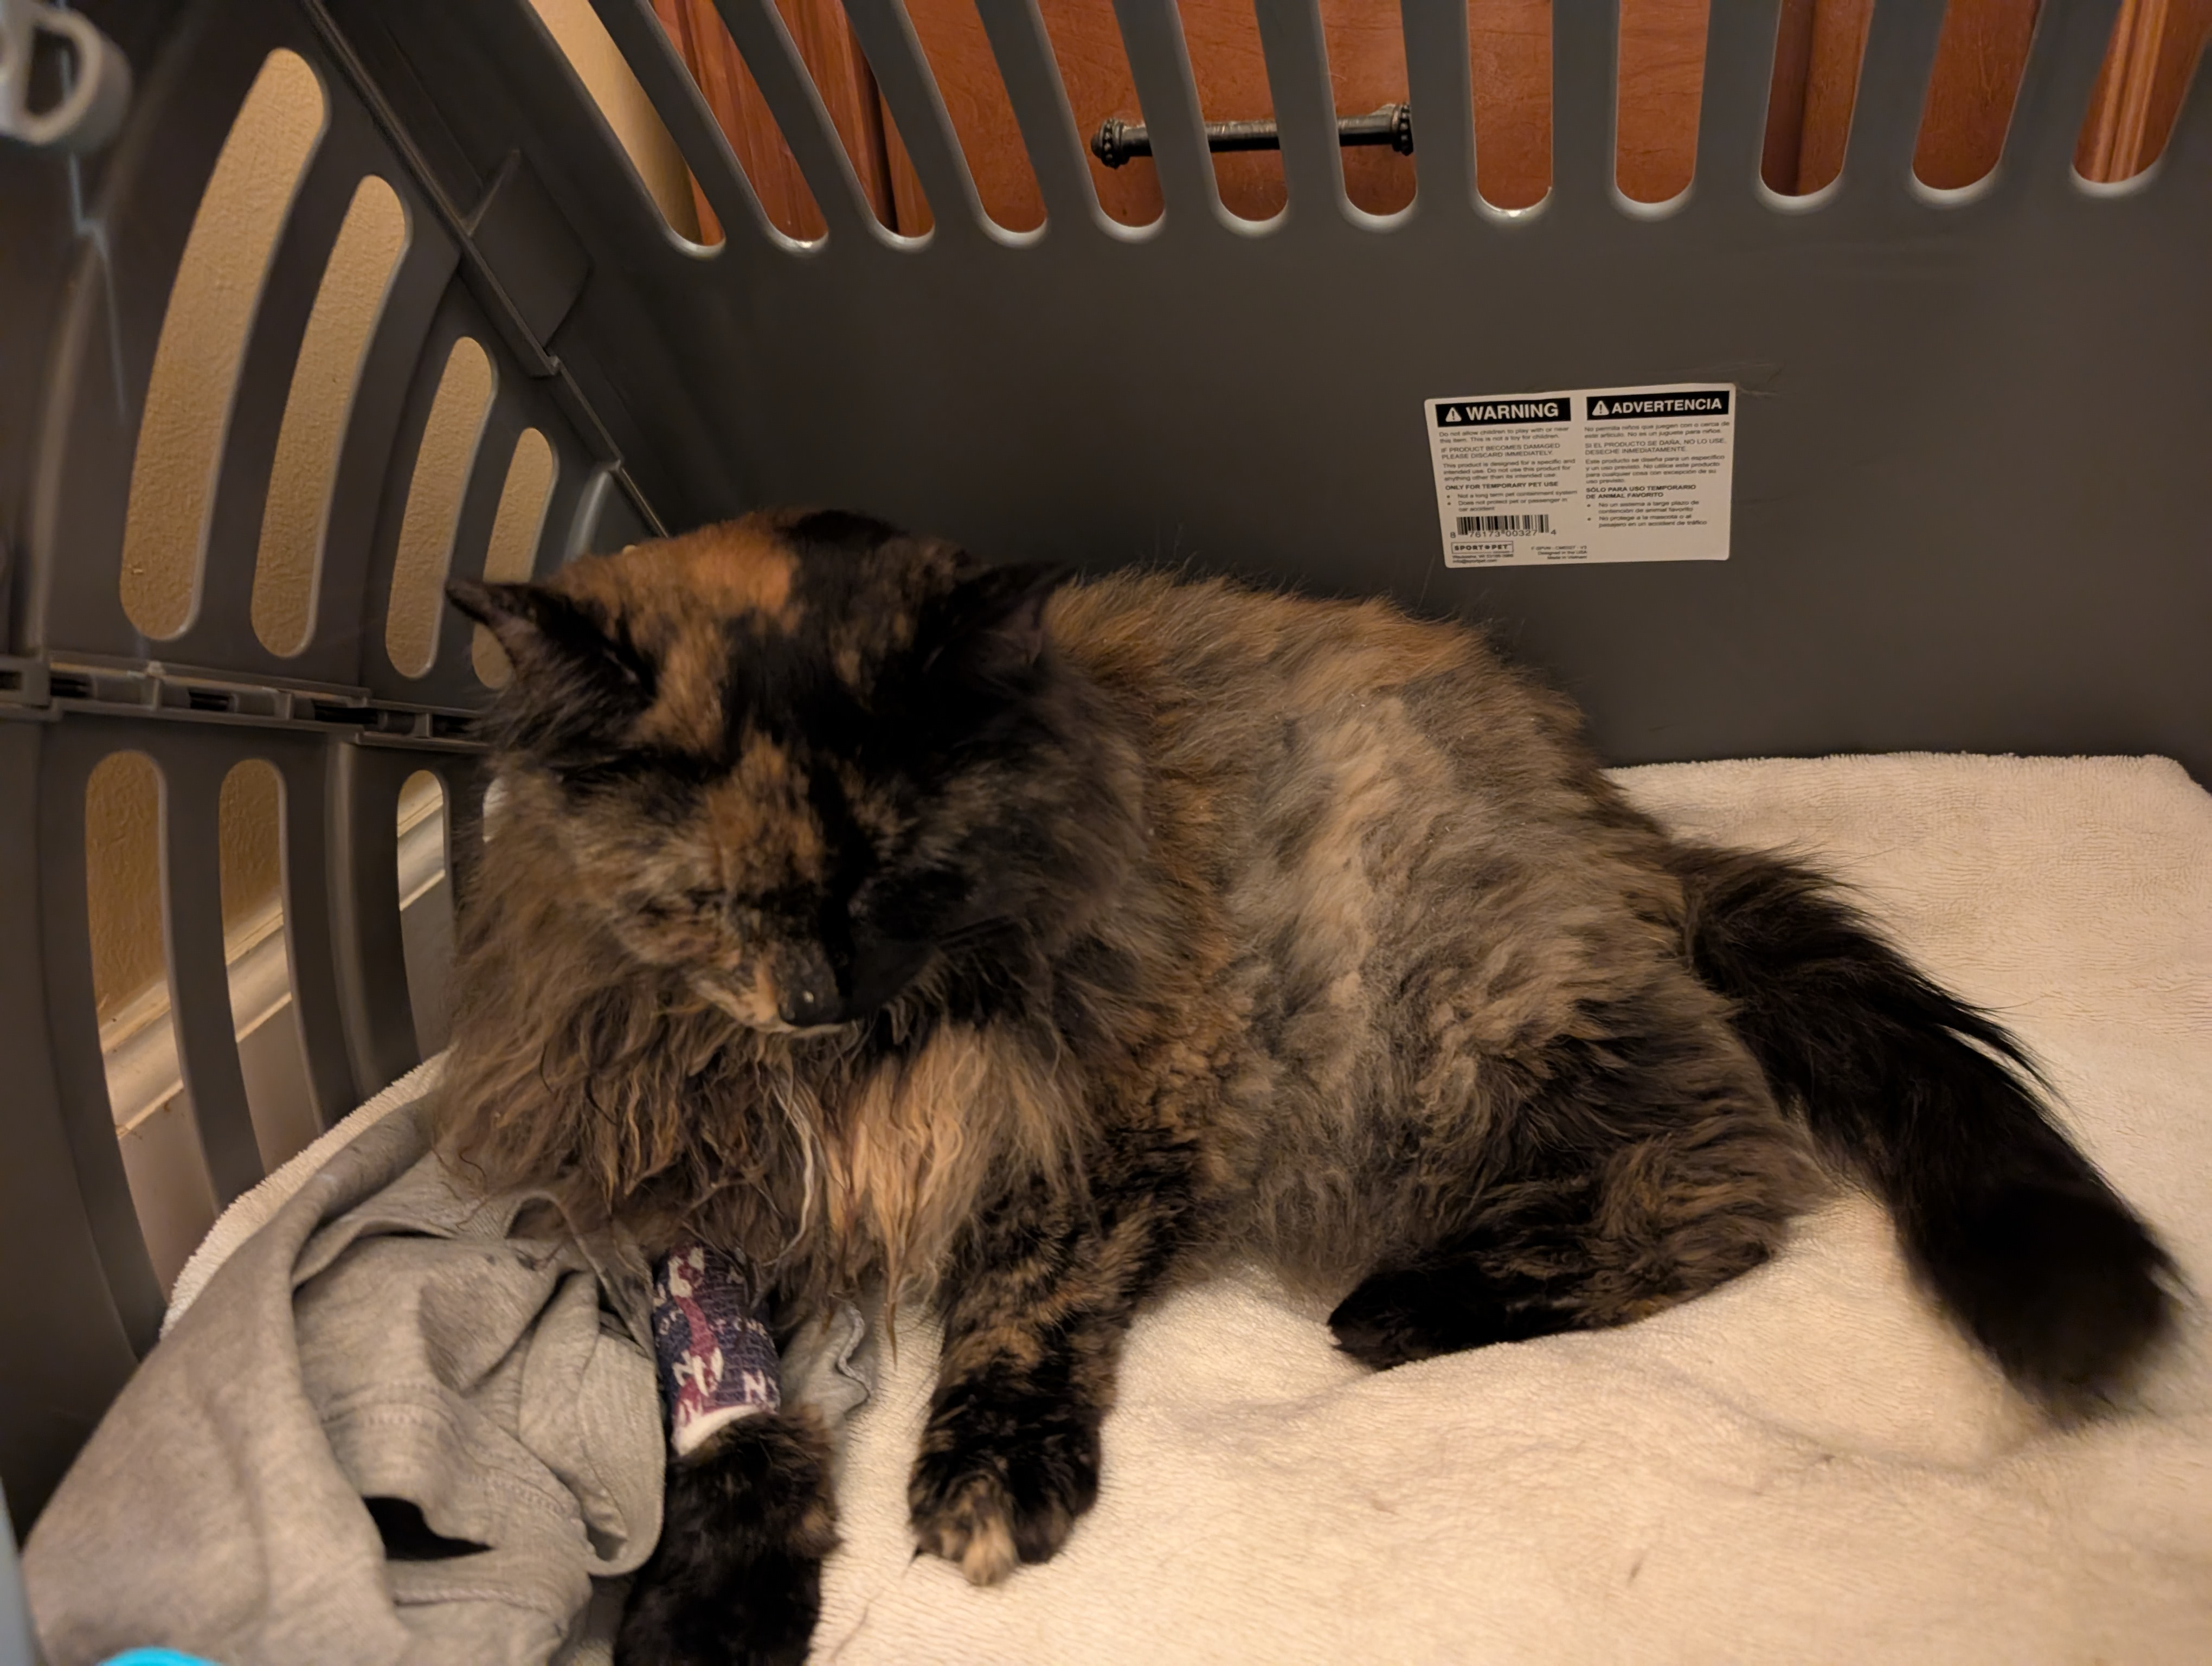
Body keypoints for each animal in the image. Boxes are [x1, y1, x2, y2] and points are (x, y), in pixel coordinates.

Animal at [442, 509, 2174, 1666]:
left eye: (899, 874)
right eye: (717, 901)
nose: (815, 997)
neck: (868, 1067)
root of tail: (1599, 807)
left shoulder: (1107, 1109)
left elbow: (1017, 1306)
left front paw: (989, 1476)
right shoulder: (691, 1174)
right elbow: (711, 1395)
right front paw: (711, 1600)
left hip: (1441, 1021)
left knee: (1722, 1172)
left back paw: (1408, 1309)